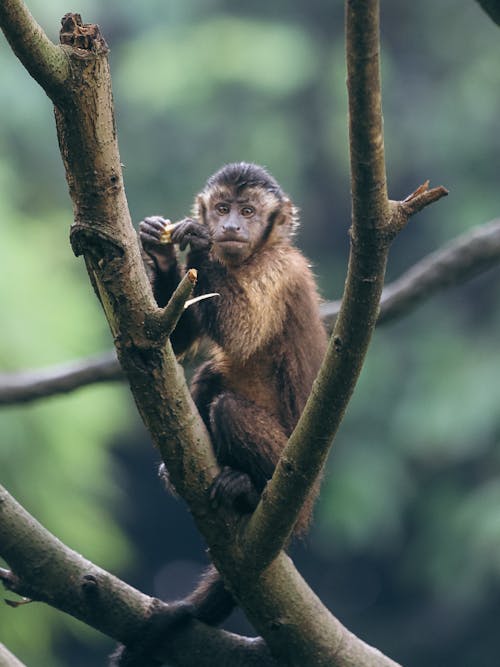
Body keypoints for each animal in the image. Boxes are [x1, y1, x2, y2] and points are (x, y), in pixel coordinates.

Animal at [110, 163, 328, 667]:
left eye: (248, 212)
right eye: (224, 207)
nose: (229, 227)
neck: (252, 257)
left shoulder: (278, 269)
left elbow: (242, 331)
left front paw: (199, 243)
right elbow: (164, 338)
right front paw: (161, 252)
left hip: (293, 487)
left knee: (226, 403)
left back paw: (248, 488)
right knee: (213, 376)